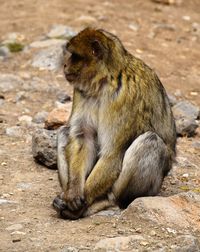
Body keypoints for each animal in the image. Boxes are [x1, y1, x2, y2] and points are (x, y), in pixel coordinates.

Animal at [52, 27, 176, 220]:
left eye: (75, 56)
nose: (65, 65)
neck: (105, 80)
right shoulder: (81, 91)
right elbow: (83, 137)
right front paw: (73, 193)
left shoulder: (125, 98)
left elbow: (113, 154)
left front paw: (82, 200)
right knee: (65, 132)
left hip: (152, 188)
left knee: (149, 141)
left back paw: (105, 201)